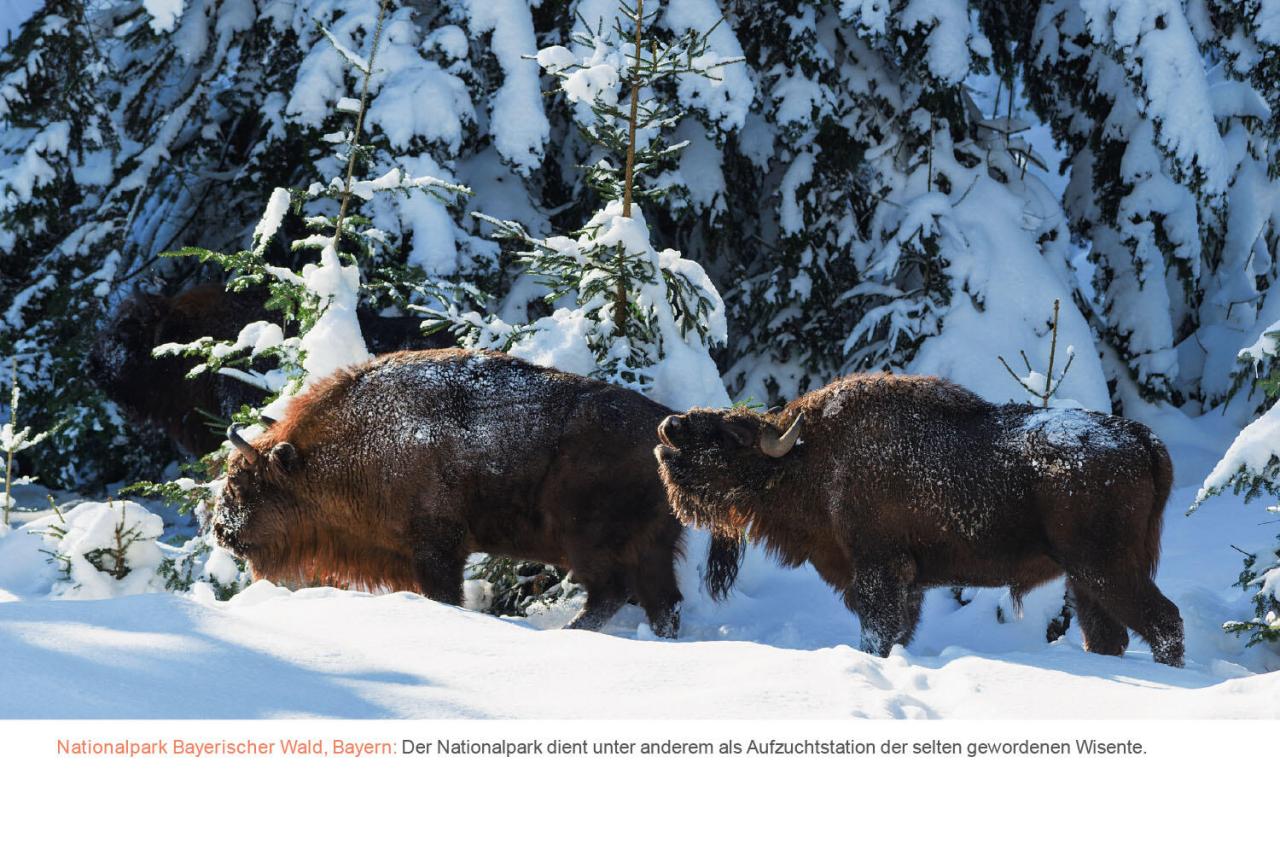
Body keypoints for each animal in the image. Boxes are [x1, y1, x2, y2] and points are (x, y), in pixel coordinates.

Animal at [212, 348, 711, 637]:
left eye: (241, 480)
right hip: (651, 549)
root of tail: (663, 434)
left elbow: (447, 596)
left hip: (589, 544)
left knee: (612, 593)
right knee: (662, 604)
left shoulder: (437, 549)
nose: (220, 531)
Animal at [655, 371, 1182, 665]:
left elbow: (877, 633)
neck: (809, 457)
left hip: (1107, 568)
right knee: (1109, 636)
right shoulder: (907, 584)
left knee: (1164, 623)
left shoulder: (878, 572)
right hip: (1085, 579)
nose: (669, 428)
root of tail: (1139, 438)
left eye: (730, 435)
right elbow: (899, 631)